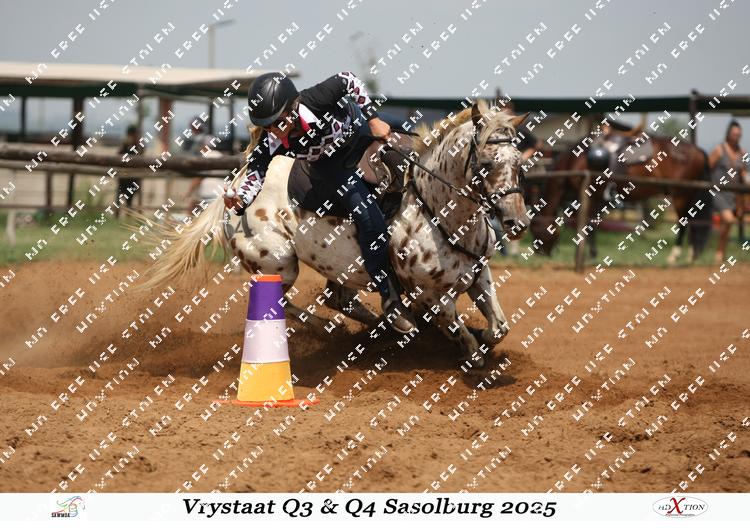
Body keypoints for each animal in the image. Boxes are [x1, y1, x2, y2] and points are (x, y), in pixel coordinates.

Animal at [140, 100, 529, 368]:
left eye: (520, 163)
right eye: (486, 164)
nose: (517, 222)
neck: (435, 209)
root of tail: (231, 193)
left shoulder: (480, 274)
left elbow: (499, 328)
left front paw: (481, 335)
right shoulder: (431, 296)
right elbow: (467, 342)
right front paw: (468, 350)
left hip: (337, 267)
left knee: (338, 299)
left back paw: (381, 324)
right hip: (279, 264)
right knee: (283, 305)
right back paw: (346, 327)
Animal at [530, 123, 712, 262]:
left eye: (535, 230)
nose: (540, 254)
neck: (577, 159)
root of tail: (698, 151)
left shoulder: (590, 196)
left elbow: (589, 225)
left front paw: (591, 254)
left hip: (681, 194)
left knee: (684, 223)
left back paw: (674, 255)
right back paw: (692, 255)